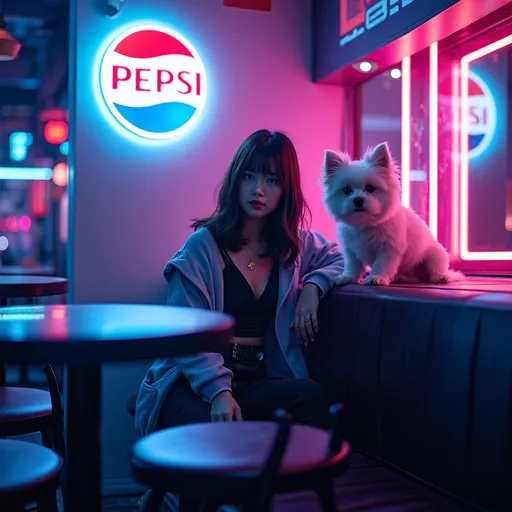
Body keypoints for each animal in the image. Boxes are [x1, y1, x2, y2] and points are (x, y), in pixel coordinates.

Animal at [324, 142, 464, 286]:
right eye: (346, 190)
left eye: (370, 188)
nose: (358, 200)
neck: (366, 224)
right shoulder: (350, 251)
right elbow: (352, 265)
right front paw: (348, 277)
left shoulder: (388, 249)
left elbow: (381, 264)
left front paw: (377, 277)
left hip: (435, 255)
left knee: (435, 270)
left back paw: (441, 276)